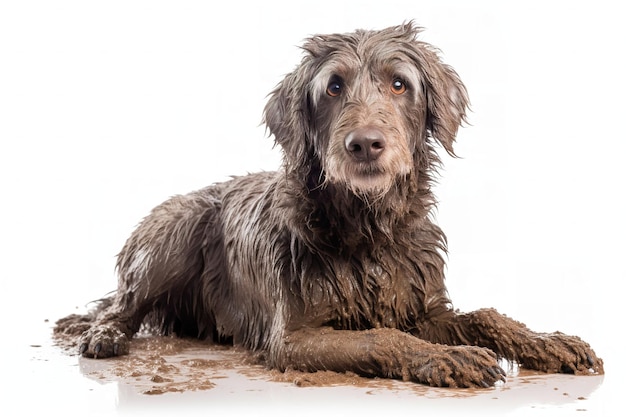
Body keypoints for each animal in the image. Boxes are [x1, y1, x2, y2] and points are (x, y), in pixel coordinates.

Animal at [56, 22, 604, 386]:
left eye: (399, 83)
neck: (368, 226)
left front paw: (547, 342)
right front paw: (451, 357)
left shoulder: (420, 305)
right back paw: (105, 334)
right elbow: (380, 337)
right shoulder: (294, 337)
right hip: (173, 231)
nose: (364, 144)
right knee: (123, 304)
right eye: (334, 87)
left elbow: (486, 316)